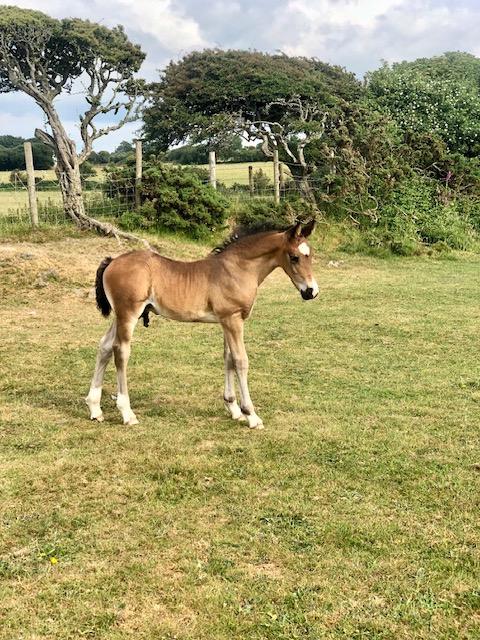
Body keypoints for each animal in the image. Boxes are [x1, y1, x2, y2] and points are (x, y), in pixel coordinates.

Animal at [86, 221, 318, 430]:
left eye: (311, 255)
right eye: (294, 257)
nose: (311, 291)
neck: (236, 269)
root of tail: (112, 261)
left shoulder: (226, 320)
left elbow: (228, 358)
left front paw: (233, 409)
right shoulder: (233, 319)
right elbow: (241, 361)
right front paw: (251, 415)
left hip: (120, 316)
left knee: (105, 346)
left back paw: (95, 408)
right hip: (128, 314)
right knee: (121, 351)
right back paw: (127, 413)